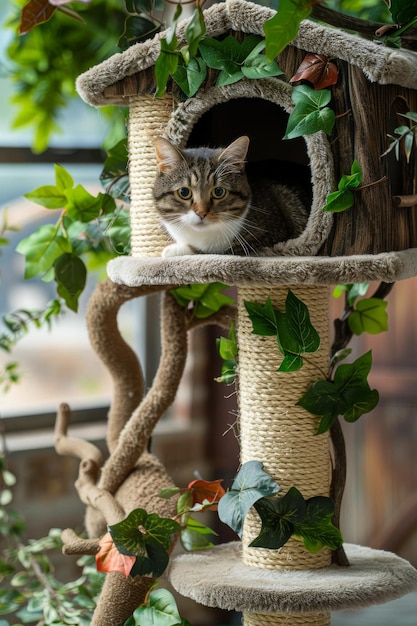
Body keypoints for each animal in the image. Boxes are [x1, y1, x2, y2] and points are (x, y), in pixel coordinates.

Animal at [153, 135, 308, 256]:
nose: (202, 213)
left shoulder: (271, 235)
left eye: (219, 192)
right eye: (184, 192)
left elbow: (221, 250)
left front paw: (175, 250)